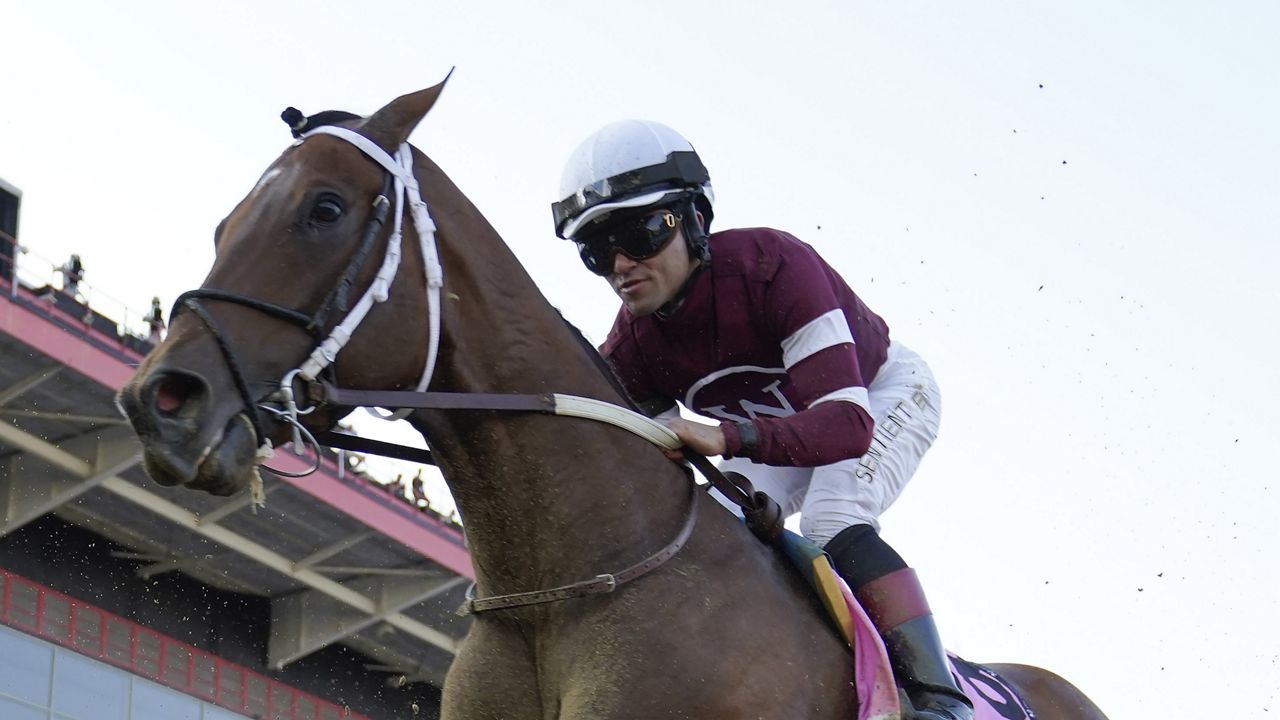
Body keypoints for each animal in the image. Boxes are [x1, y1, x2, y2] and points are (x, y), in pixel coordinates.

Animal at [124, 79, 1116, 717]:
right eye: (224, 224)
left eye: (324, 209)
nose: (159, 398)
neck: (560, 594)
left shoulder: (790, 275)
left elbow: (839, 421)